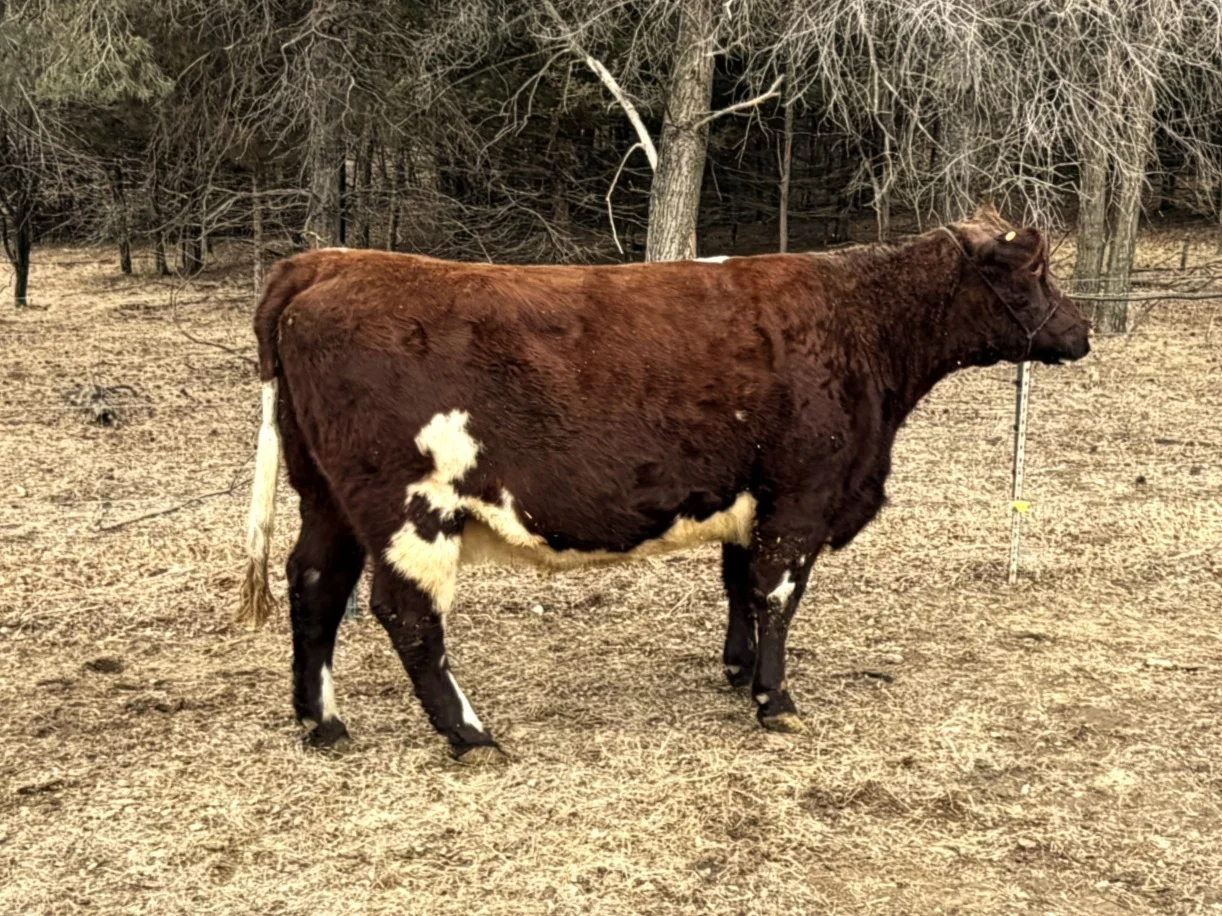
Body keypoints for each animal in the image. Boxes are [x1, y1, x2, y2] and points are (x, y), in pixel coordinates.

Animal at [237, 203, 1090, 764]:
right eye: (1035, 273)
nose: (1081, 331)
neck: (860, 326)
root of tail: (328, 261)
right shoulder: (803, 494)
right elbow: (778, 592)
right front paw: (774, 700)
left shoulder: (749, 494)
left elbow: (740, 582)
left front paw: (738, 671)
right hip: (408, 506)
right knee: (405, 614)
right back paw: (469, 735)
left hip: (326, 497)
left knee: (314, 584)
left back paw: (322, 723)